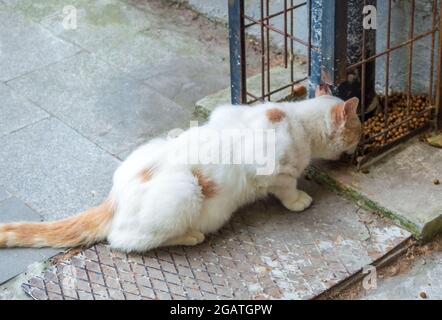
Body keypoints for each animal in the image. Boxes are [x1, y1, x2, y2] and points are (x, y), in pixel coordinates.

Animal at [0, 87, 360, 252]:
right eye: (359, 128)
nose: (363, 142)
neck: (297, 119)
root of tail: (114, 199)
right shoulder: (270, 166)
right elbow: (285, 186)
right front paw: (299, 199)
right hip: (185, 191)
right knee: (125, 241)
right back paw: (190, 235)